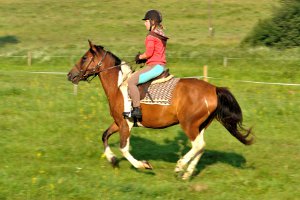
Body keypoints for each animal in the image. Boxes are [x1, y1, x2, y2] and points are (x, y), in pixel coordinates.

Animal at [67, 40, 253, 180]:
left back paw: (180, 167)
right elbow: (104, 135)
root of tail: (214, 89)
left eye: (84, 58)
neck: (119, 85)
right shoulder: (118, 122)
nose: (70, 75)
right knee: (201, 147)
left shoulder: (125, 123)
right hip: (200, 126)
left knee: (198, 145)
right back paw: (187, 174)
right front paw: (112, 160)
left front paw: (143, 165)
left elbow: (124, 148)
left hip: (189, 124)